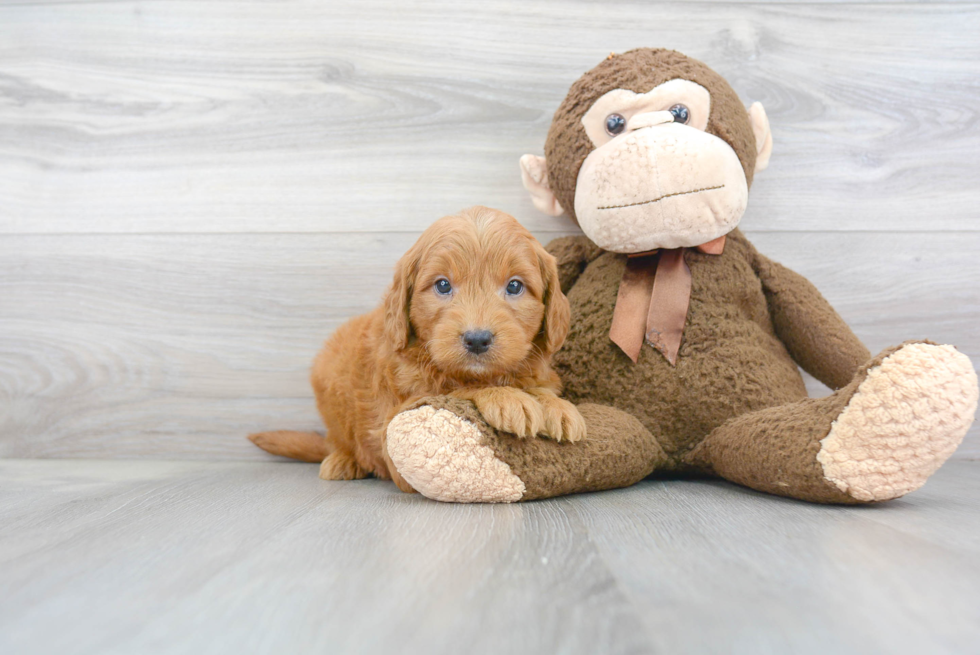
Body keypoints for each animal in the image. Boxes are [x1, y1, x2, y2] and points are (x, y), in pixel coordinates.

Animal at [249, 206, 584, 492]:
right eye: (443, 285)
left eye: (514, 286)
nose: (477, 339)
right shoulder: (395, 423)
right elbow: (452, 390)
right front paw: (506, 397)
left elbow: (538, 387)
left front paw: (556, 406)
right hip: (329, 383)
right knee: (337, 439)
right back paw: (344, 460)